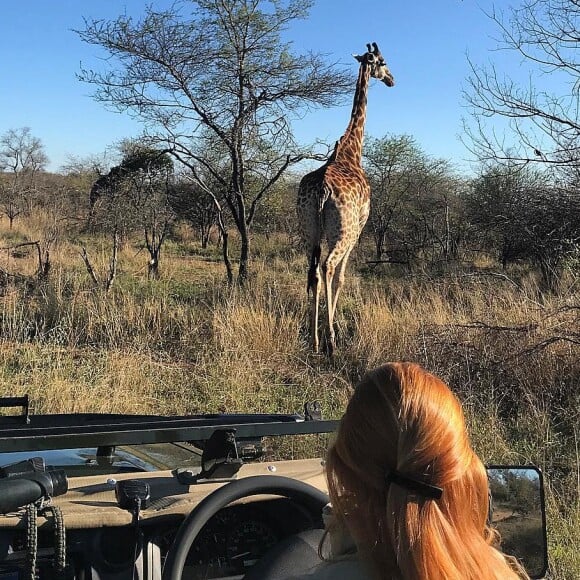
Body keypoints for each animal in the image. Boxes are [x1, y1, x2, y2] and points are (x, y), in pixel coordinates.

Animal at [300, 43, 394, 354]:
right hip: (343, 230)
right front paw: (334, 326)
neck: (352, 151)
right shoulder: (361, 226)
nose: (391, 80)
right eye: (383, 62)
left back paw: (314, 338)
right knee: (328, 267)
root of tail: (322, 190)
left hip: (308, 229)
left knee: (314, 272)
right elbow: (342, 277)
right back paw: (329, 339)